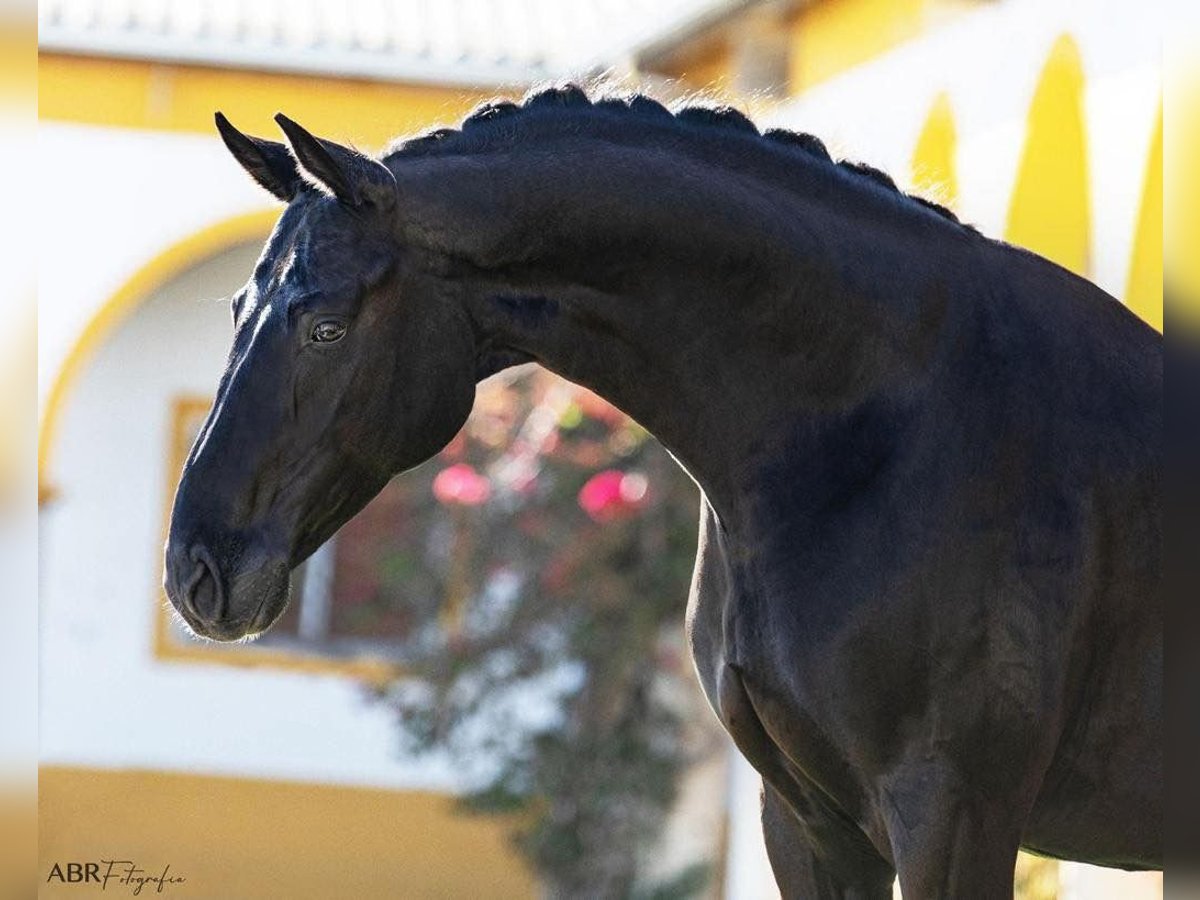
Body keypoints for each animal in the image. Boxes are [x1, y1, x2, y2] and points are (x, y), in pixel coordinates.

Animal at [163, 86, 1162, 898]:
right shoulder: (807, 822)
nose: (195, 574)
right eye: (237, 310)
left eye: (327, 326)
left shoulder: (952, 815)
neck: (877, 432)